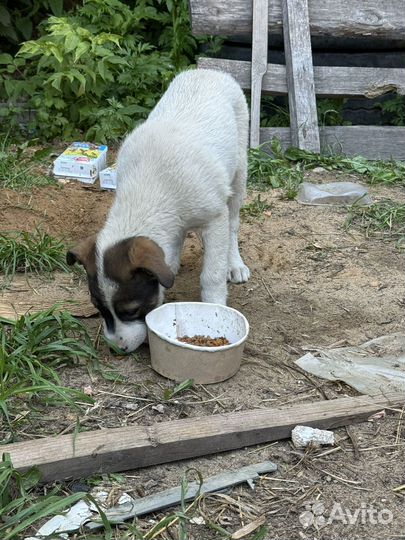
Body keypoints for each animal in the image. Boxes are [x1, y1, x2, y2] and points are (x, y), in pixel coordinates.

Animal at [66, 69, 249, 352]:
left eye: (131, 310)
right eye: (99, 308)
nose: (116, 349)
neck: (150, 188)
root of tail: (207, 70)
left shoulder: (214, 219)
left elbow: (212, 275)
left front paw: (215, 307)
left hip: (239, 173)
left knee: (233, 225)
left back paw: (235, 264)